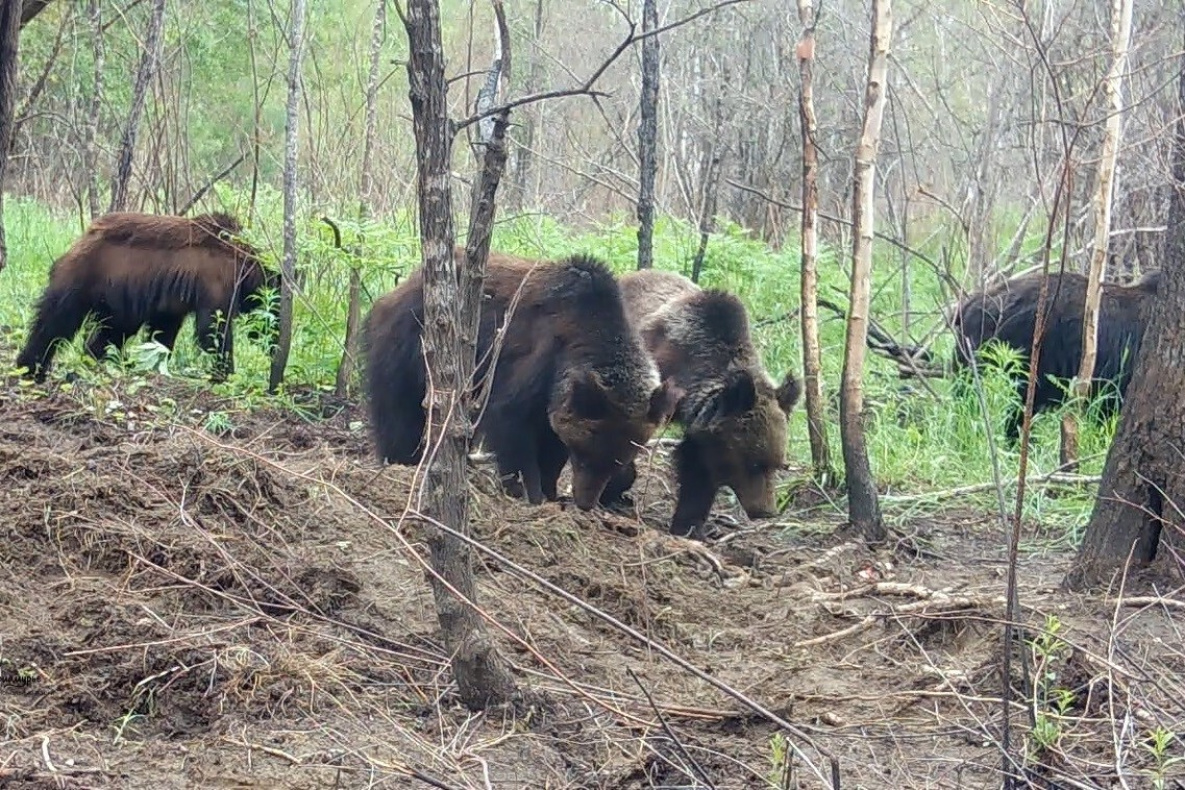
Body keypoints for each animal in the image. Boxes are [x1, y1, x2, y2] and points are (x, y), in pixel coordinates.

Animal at [15, 209, 277, 383]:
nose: (274, 345)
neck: (244, 264)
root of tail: (83, 237)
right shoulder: (215, 282)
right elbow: (213, 329)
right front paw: (226, 374)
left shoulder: (172, 301)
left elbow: (163, 332)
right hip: (82, 278)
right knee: (55, 320)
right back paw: (29, 367)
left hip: (118, 301)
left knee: (108, 333)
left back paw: (95, 362)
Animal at [360, 253, 682, 514]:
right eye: (587, 457)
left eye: (619, 459)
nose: (585, 502)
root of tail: (393, 293)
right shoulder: (533, 363)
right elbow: (512, 423)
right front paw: (528, 490)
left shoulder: (557, 402)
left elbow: (552, 442)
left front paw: (550, 490)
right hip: (407, 351)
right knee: (399, 414)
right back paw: (404, 460)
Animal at [601, 270, 805, 537]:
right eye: (753, 463)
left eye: (778, 464)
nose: (766, 511)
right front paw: (612, 486)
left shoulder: (704, 429)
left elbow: (698, 470)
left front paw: (689, 525)